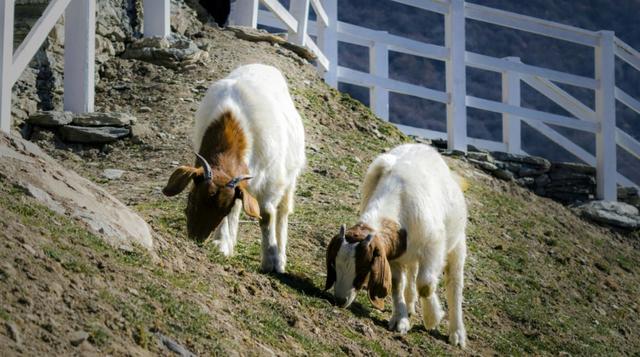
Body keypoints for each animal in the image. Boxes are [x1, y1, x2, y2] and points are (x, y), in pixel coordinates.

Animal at [164, 63, 306, 272]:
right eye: (191, 198)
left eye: (222, 210)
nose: (195, 239)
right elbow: (238, 206)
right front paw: (222, 244)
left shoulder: (272, 183)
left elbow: (266, 215)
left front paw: (270, 260)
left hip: (290, 177)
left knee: (282, 213)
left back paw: (280, 259)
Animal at [328, 143, 468, 346]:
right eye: (334, 264)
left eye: (363, 270)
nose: (339, 300)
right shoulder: (392, 255)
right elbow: (396, 284)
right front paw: (400, 320)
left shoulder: (433, 247)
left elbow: (425, 285)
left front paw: (432, 318)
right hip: (410, 256)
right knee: (411, 275)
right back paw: (409, 307)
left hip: (456, 244)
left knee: (454, 283)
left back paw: (457, 334)